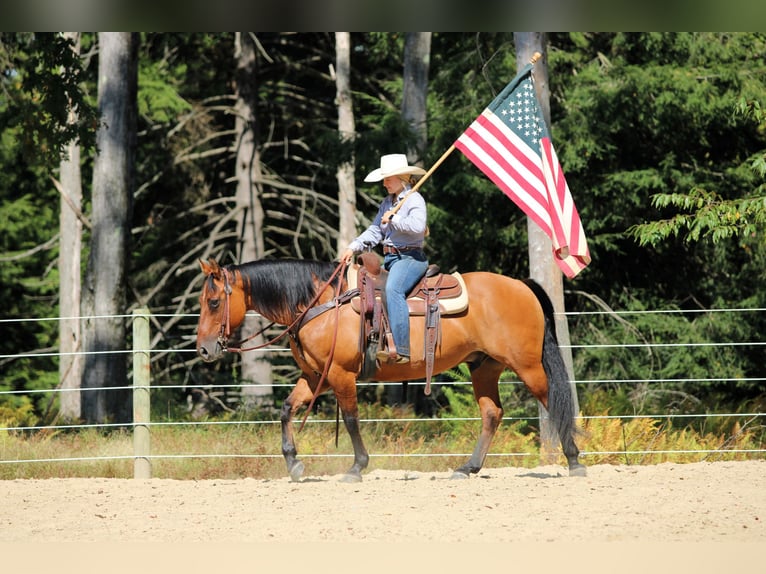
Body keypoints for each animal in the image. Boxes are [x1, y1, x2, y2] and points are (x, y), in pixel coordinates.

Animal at [195, 257, 586, 482]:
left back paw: (574, 461)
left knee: (555, 403)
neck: (322, 303)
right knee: (492, 413)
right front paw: (293, 463)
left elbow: (351, 418)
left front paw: (356, 466)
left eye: (213, 302)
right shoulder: (315, 375)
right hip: (484, 367)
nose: (204, 349)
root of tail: (521, 284)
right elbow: (287, 409)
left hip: (528, 365)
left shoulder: (340, 375)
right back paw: (467, 468)